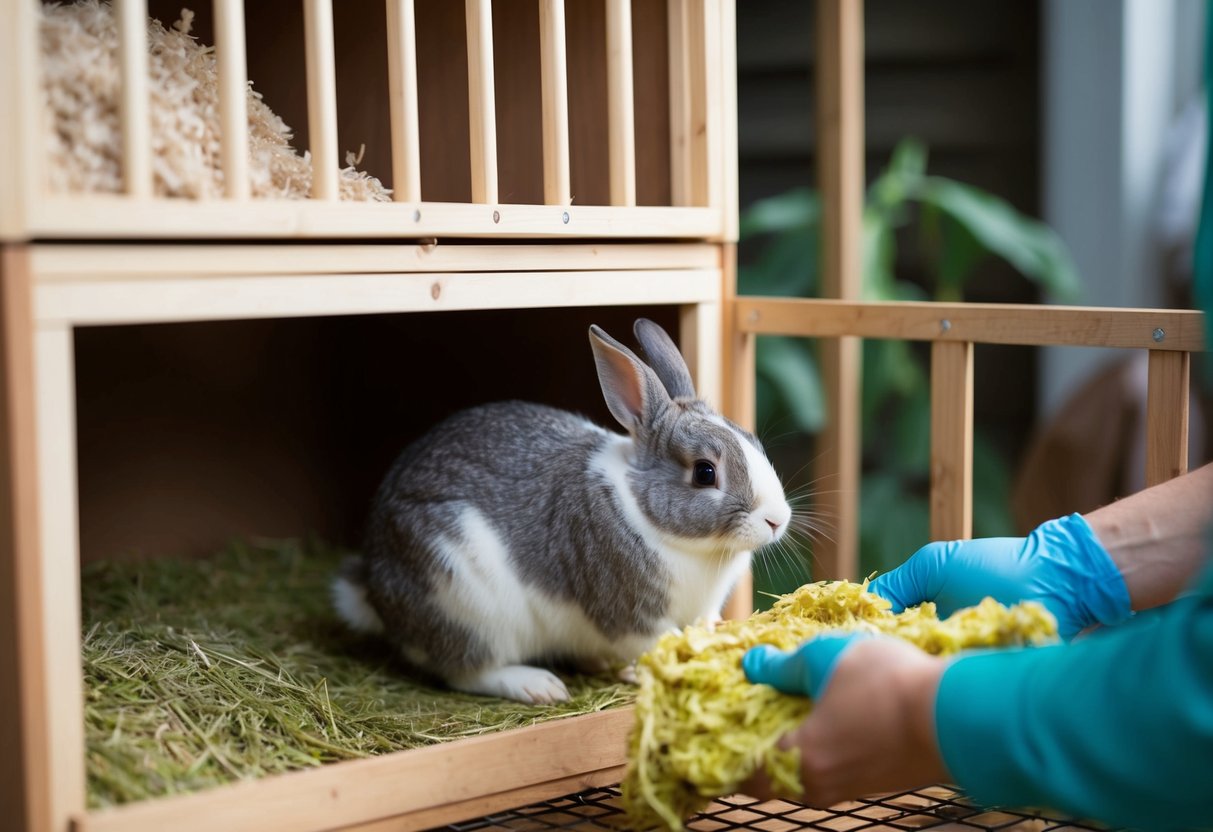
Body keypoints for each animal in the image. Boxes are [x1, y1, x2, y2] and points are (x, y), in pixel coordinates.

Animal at [332, 319, 792, 705]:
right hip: (462, 599)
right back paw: (538, 685)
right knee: (467, 670)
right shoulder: (632, 618)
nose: (777, 520)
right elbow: (657, 641)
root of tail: (375, 589)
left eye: (752, 440)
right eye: (704, 472)